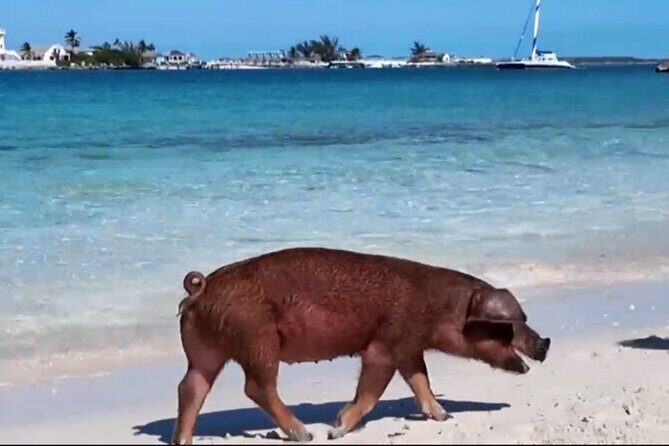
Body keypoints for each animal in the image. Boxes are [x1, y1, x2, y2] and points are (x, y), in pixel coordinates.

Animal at [172, 247, 550, 444]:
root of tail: (201, 288)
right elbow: (372, 390)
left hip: (204, 351)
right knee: (256, 387)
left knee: (190, 386)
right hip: (258, 340)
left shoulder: (409, 349)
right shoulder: (385, 344)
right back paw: (305, 434)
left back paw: (183, 441)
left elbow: (421, 381)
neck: (439, 308)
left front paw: (444, 415)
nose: (545, 343)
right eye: (507, 326)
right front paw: (336, 429)